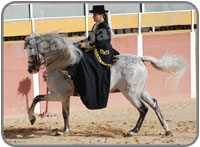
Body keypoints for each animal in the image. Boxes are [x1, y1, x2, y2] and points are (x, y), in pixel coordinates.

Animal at [24, 32, 186, 136]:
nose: (30, 69)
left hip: (130, 93)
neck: (60, 62)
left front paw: (32, 119)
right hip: (140, 91)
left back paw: (133, 131)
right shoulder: (65, 97)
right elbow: (65, 114)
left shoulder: (58, 94)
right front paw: (65, 131)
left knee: (143, 109)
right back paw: (167, 130)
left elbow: (37, 98)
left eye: (31, 50)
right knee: (154, 104)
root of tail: (140, 58)